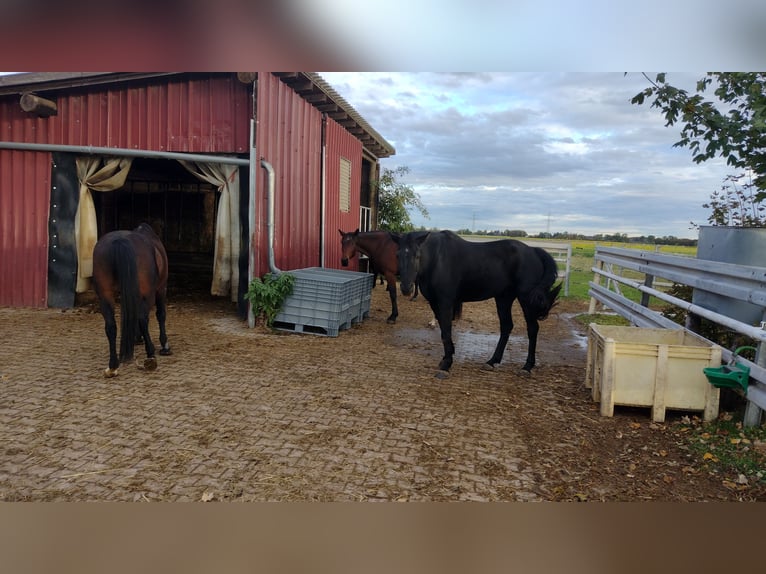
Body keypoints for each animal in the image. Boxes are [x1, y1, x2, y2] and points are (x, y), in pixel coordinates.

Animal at [92, 222, 172, 378]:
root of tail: (120, 241)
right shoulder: (161, 288)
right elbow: (161, 315)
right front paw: (164, 345)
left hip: (105, 295)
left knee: (111, 325)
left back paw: (113, 366)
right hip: (149, 294)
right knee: (143, 319)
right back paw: (150, 355)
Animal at [393, 230, 562, 378]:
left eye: (417, 255)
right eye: (398, 255)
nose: (406, 288)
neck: (437, 259)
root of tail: (533, 250)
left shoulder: (445, 302)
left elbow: (446, 332)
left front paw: (447, 364)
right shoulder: (435, 303)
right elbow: (443, 331)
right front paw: (447, 358)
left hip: (526, 299)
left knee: (532, 329)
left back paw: (527, 367)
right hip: (503, 298)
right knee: (506, 326)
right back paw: (492, 361)